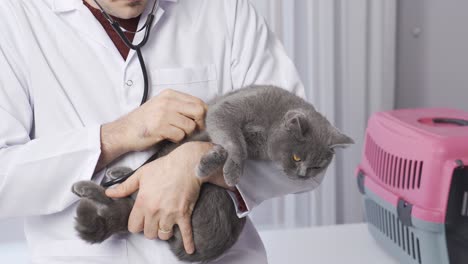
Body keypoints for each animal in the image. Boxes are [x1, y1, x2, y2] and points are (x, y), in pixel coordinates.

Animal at [71, 86, 352, 262]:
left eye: (317, 167)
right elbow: (233, 143)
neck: (269, 127)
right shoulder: (228, 110)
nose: (303, 174)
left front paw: (212, 164)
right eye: (297, 158)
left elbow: (231, 149)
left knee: (125, 197)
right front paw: (226, 168)